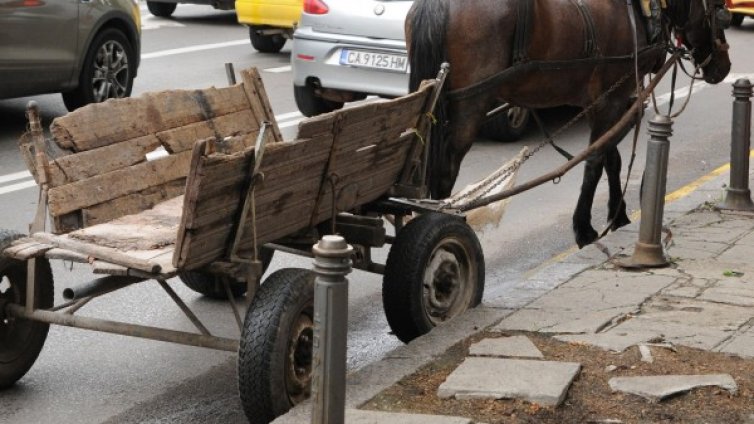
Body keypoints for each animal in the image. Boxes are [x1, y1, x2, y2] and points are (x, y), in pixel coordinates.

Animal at [406, 0, 728, 248]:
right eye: (718, 8)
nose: (723, 67)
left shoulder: (601, 102)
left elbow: (611, 158)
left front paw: (618, 215)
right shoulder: (612, 100)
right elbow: (596, 161)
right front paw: (584, 228)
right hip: (470, 104)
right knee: (445, 170)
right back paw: (441, 221)